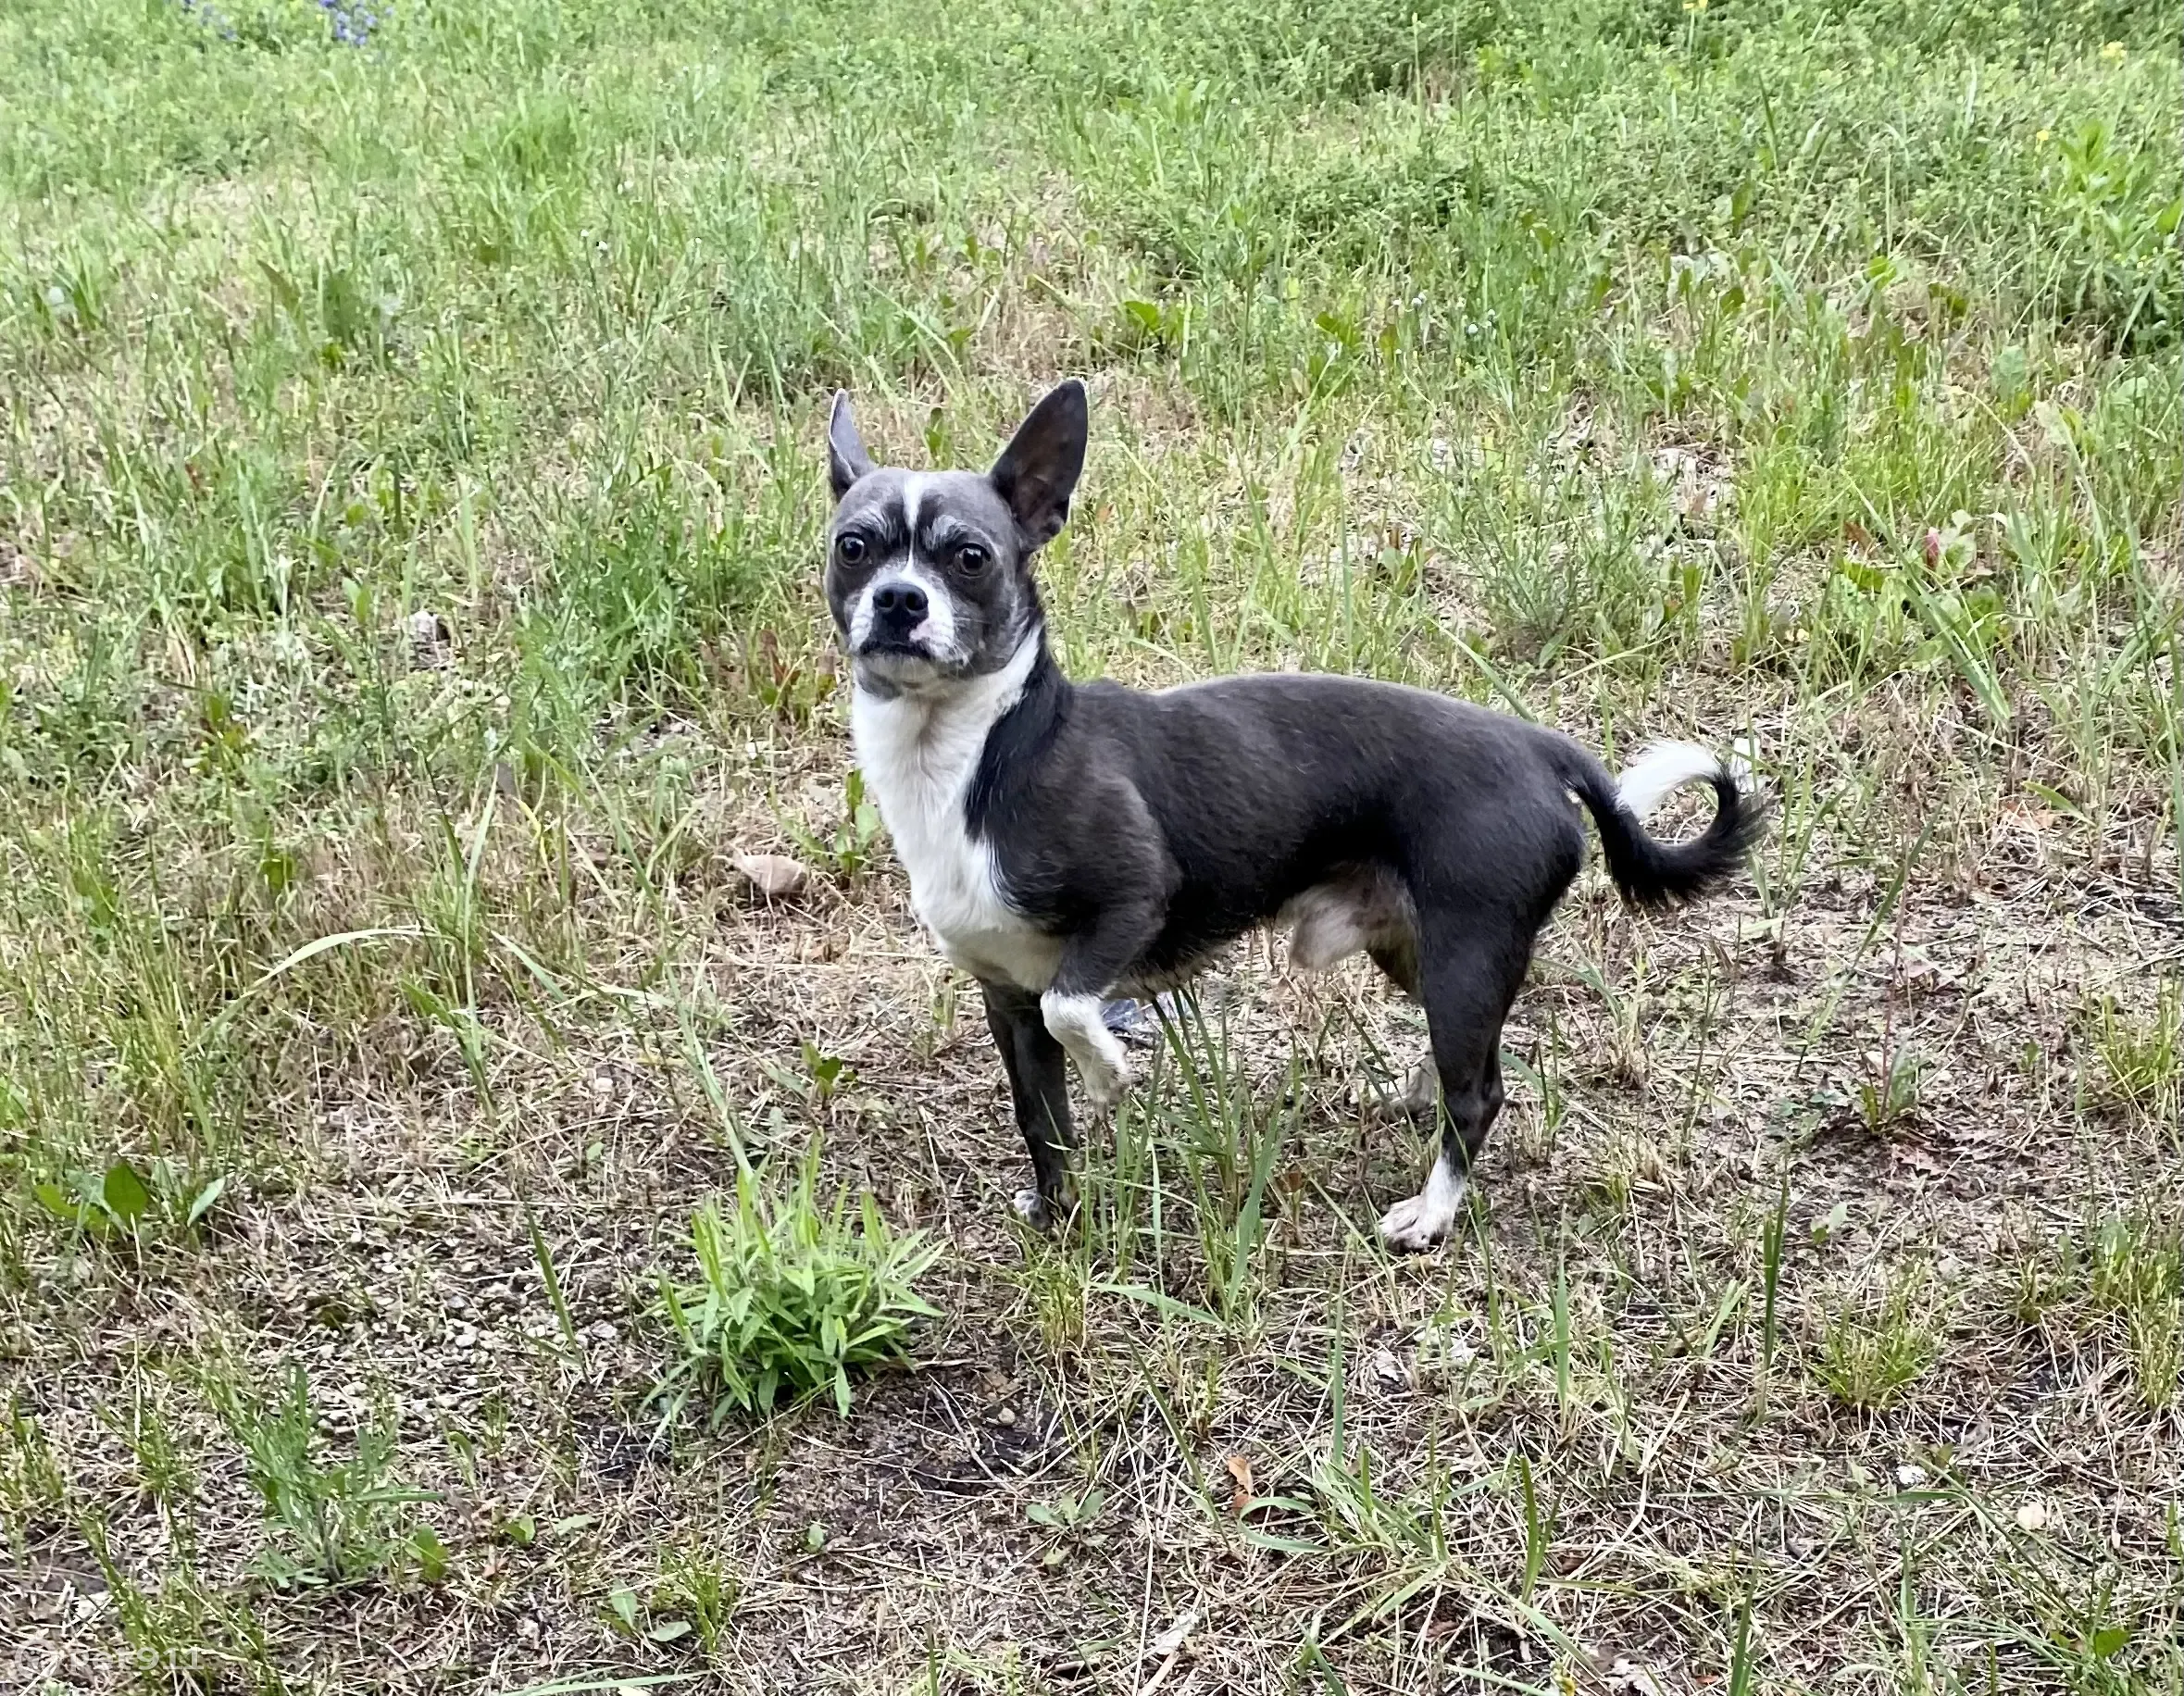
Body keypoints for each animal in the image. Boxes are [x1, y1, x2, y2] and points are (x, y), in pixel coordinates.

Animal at [820, 383, 1755, 1240]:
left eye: (970, 557)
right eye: (852, 548)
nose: (900, 599)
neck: (971, 753)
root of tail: (1538, 746)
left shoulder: (1131, 903)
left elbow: (1073, 1007)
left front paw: (1110, 1074)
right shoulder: (1003, 998)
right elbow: (1039, 1121)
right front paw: (1057, 1220)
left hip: (1466, 952)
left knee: (1479, 1093)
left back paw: (1430, 1213)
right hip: (1426, 953)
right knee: (1481, 1056)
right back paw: (1415, 1098)